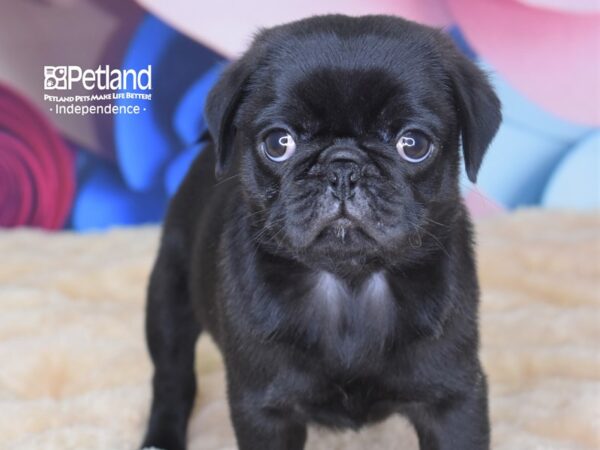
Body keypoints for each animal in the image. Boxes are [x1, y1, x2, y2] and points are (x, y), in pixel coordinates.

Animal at [142, 14, 502, 450]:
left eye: (413, 144)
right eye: (278, 143)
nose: (343, 167)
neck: (350, 285)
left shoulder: (453, 399)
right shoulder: (267, 409)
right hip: (168, 295)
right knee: (172, 376)